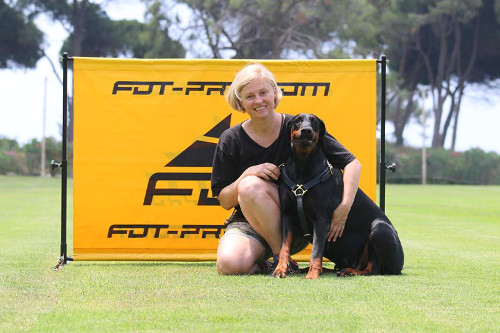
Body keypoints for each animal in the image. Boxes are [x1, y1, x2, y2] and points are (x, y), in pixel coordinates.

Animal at [272, 113, 404, 278]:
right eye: (297, 120)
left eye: (315, 122)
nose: (307, 130)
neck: (302, 167)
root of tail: (400, 265)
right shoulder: (287, 215)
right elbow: (284, 247)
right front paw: (280, 269)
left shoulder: (321, 220)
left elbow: (316, 251)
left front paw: (312, 275)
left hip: (379, 227)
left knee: (372, 269)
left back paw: (347, 271)